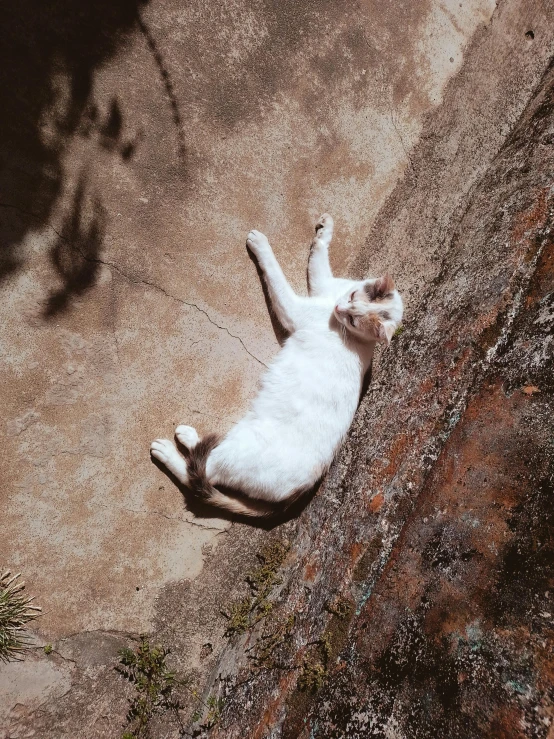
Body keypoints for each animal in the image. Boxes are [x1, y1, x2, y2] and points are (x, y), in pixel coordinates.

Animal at [151, 214, 402, 516]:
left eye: (353, 320)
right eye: (352, 297)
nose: (339, 309)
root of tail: (293, 496)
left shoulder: (294, 308)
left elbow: (275, 273)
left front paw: (260, 243)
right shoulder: (324, 283)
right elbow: (319, 254)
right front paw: (325, 228)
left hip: (237, 451)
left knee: (200, 475)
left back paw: (168, 451)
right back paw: (189, 436)